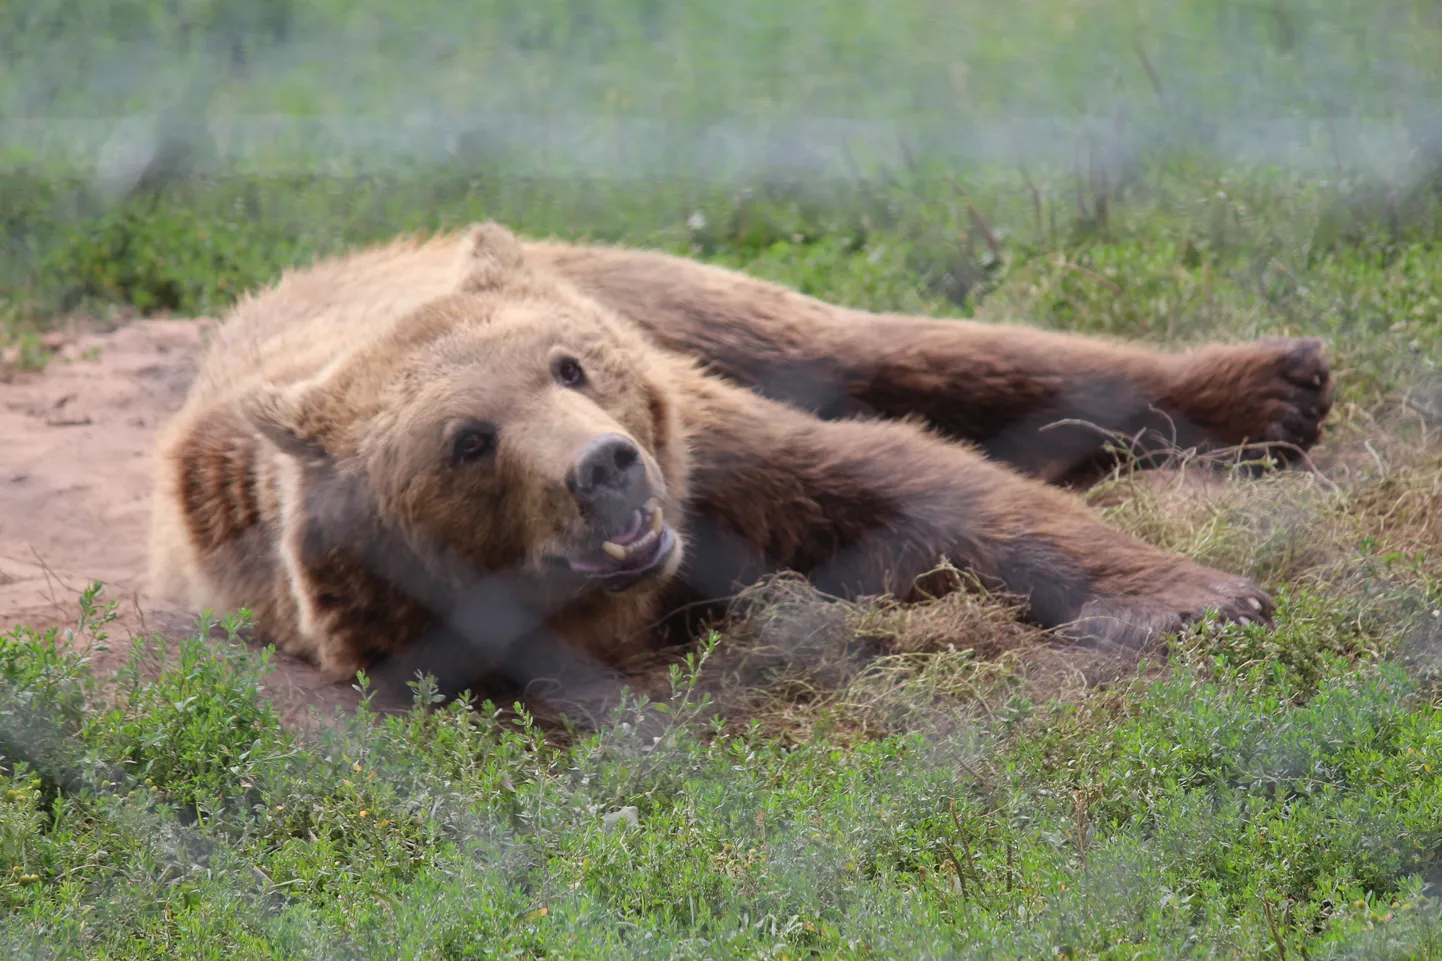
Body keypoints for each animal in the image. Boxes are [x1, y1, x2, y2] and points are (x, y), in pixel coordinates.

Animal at [149, 219, 1297, 692]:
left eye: (568, 365)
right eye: (468, 441)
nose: (604, 466)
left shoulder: (706, 449)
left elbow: (900, 479)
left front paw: (1194, 596)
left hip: (668, 297)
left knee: (898, 345)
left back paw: (1273, 382)